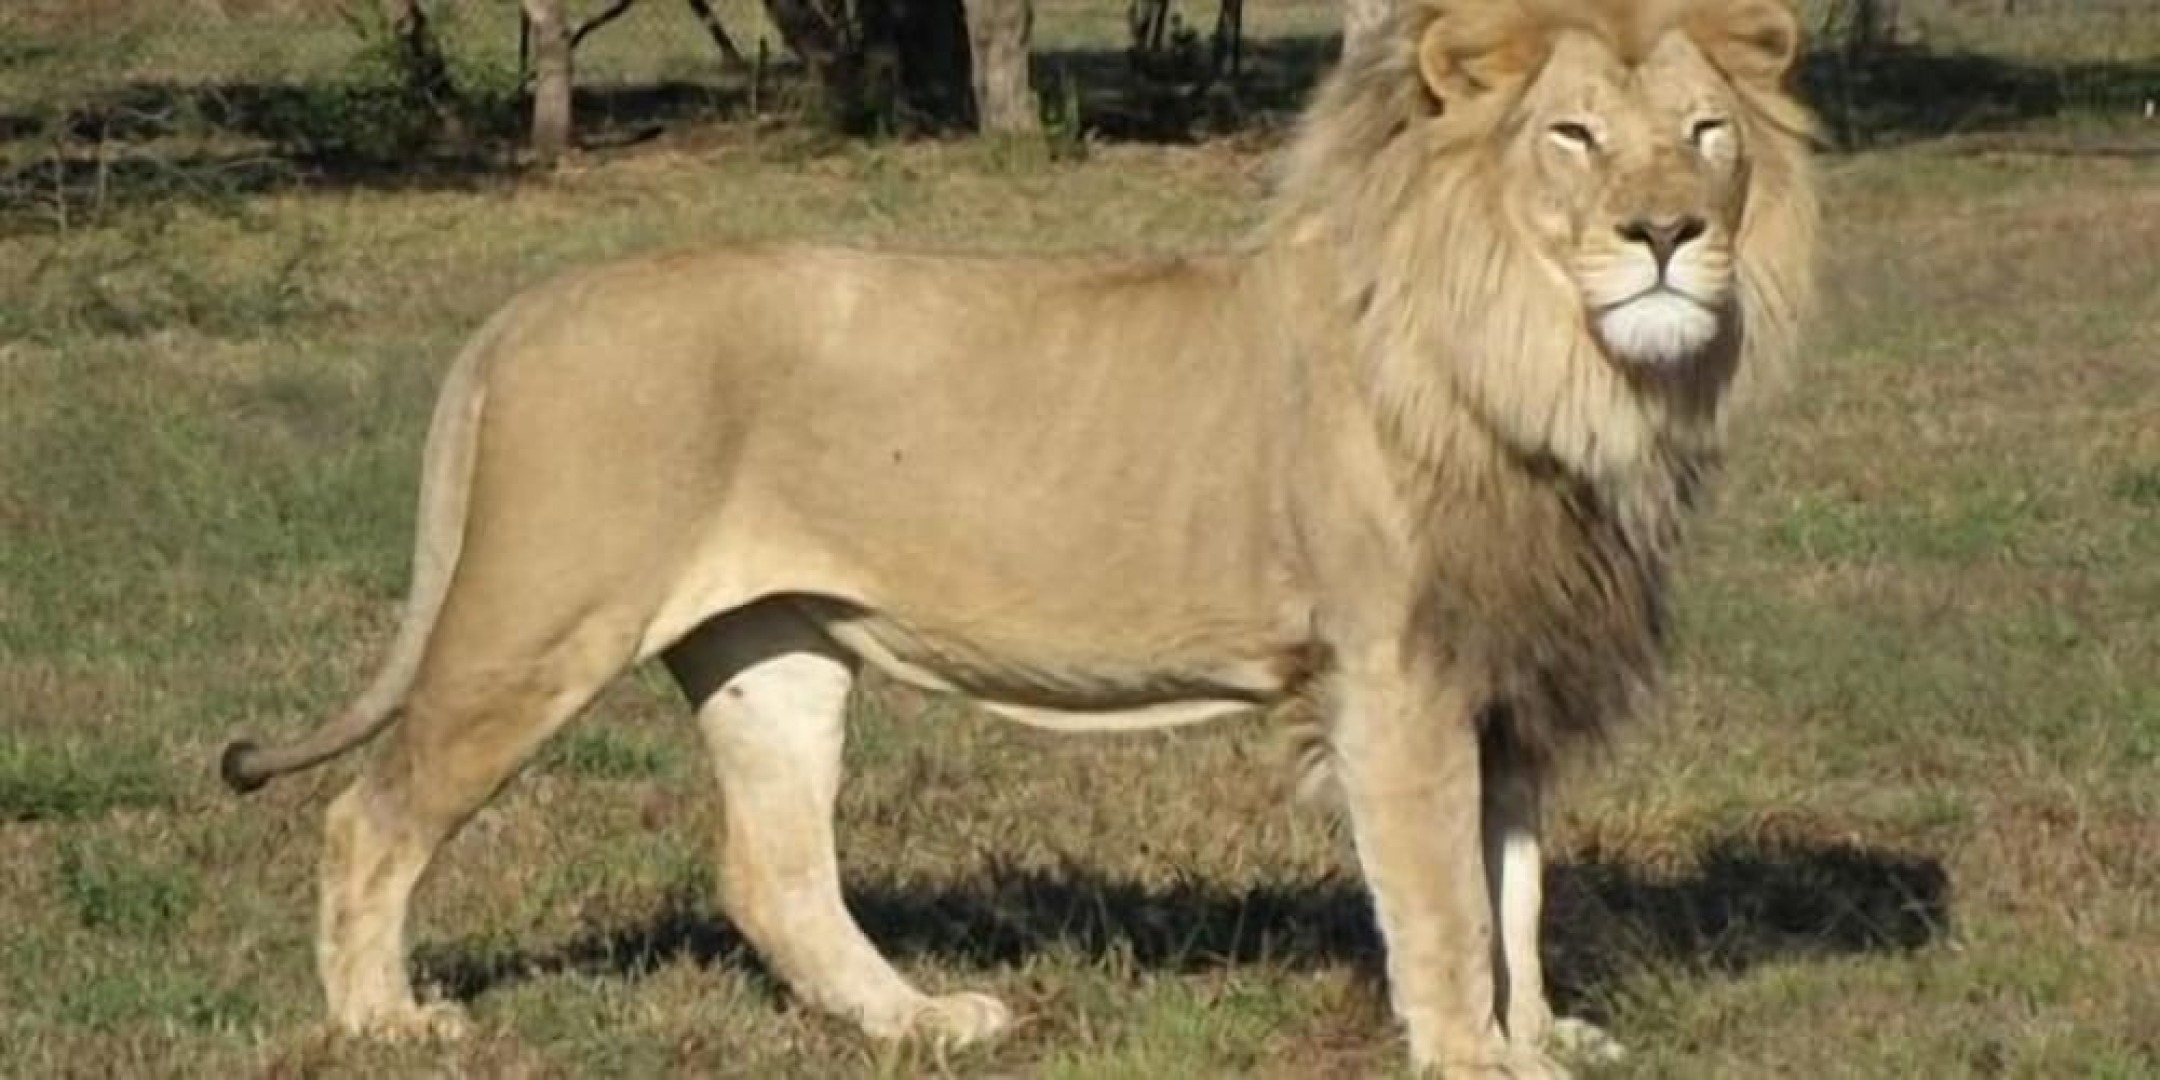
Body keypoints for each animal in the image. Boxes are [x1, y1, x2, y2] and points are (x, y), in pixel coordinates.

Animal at [218, 0, 1817, 1074]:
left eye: (1707, 135)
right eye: (1573, 137)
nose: (1667, 233)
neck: (1565, 369)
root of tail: (530, 306)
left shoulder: (1513, 673)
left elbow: (1518, 885)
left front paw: (1541, 1036)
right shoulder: (1396, 675)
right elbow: (1440, 901)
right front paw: (1474, 1053)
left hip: (770, 648)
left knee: (774, 872)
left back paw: (924, 1021)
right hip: (538, 623)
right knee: (371, 815)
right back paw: (382, 1023)